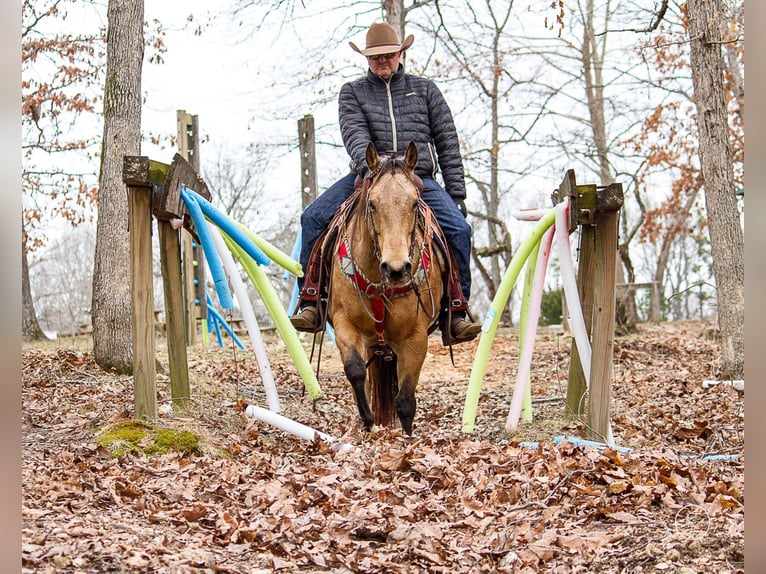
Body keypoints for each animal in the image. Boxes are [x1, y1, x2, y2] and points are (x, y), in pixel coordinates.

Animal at [328, 141, 448, 436]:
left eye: (415, 203)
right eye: (372, 204)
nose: (396, 269)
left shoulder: (415, 337)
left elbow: (405, 399)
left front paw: (407, 437)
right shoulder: (344, 322)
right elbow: (355, 371)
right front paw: (369, 422)